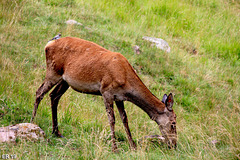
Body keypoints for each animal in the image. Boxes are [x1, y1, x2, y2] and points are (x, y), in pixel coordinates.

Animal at [31, 36, 177, 151]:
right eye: (173, 123)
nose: (174, 145)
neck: (126, 81)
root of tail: (48, 44)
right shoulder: (106, 91)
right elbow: (112, 119)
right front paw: (114, 147)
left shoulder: (119, 98)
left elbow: (125, 119)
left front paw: (132, 146)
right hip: (53, 71)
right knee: (39, 92)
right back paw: (33, 122)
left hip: (65, 80)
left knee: (54, 96)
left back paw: (56, 132)